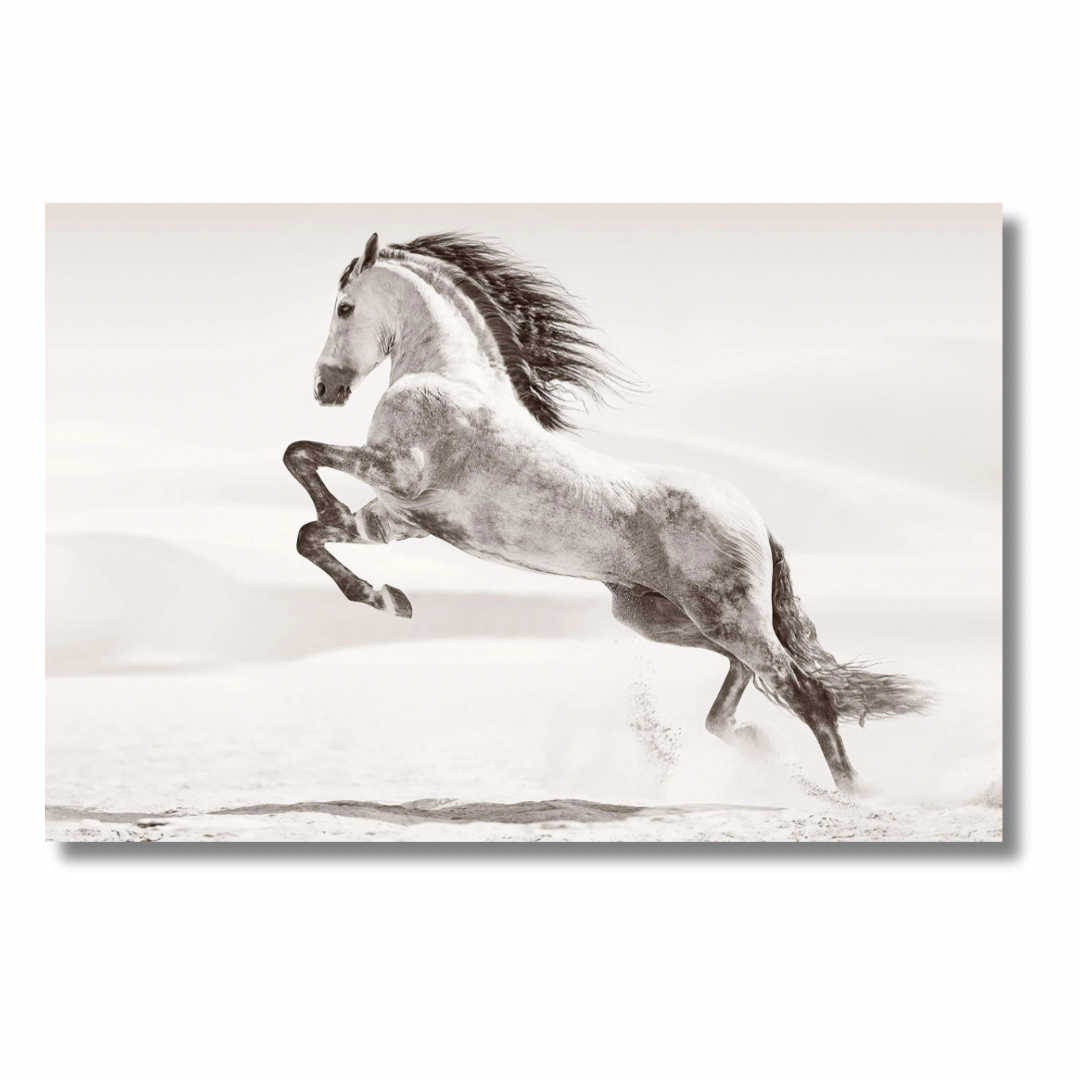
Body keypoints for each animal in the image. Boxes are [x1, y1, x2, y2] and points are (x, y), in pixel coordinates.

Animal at [284, 231, 929, 793]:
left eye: (344, 307)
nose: (323, 389)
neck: (448, 377)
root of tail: (755, 519)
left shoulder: (397, 473)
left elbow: (299, 455)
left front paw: (377, 582)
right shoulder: (395, 520)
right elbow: (310, 533)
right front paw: (387, 598)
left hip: (726, 616)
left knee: (805, 692)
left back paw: (852, 792)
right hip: (661, 617)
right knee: (746, 679)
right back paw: (755, 745)